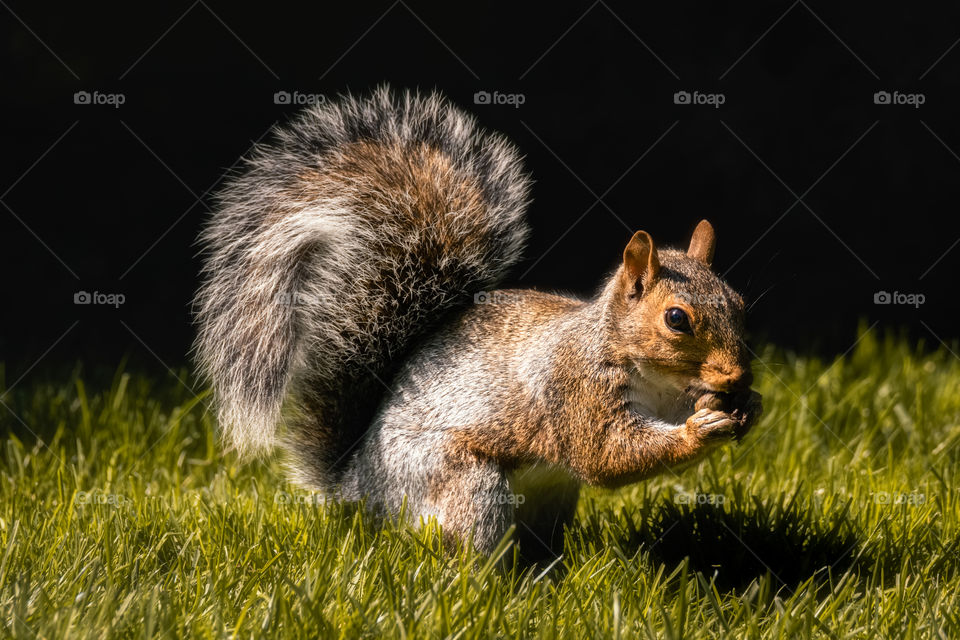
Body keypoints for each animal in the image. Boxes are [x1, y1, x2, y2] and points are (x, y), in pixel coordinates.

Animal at [195, 87, 764, 556]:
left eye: (739, 304)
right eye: (676, 319)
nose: (738, 376)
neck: (658, 380)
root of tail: (359, 488)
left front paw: (749, 407)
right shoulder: (576, 389)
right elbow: (606, 455)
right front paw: (698, 431)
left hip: (549, 498)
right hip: (466, 485)